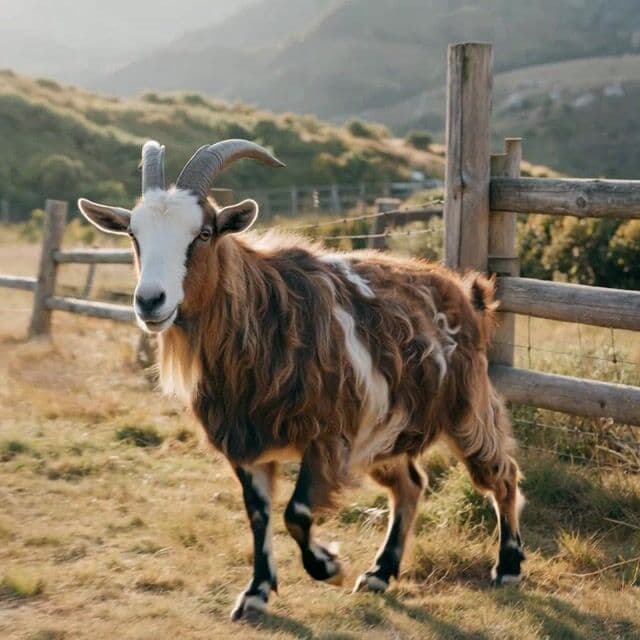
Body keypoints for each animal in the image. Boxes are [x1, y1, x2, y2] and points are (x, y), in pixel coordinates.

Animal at [78, 139, 525, 621]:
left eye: (204, 233)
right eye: (133, 235)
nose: (150, 301)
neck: (262, 317)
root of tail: (466, 291)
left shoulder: (328, 435)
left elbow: (296, 511)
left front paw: (327, 566)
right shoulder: (245, 443)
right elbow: (259, 514)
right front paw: (256, 592)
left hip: (467, 408)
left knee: (501, 474)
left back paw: (508, 566)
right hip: (383, 434)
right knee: (410, 486)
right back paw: (380, 573)